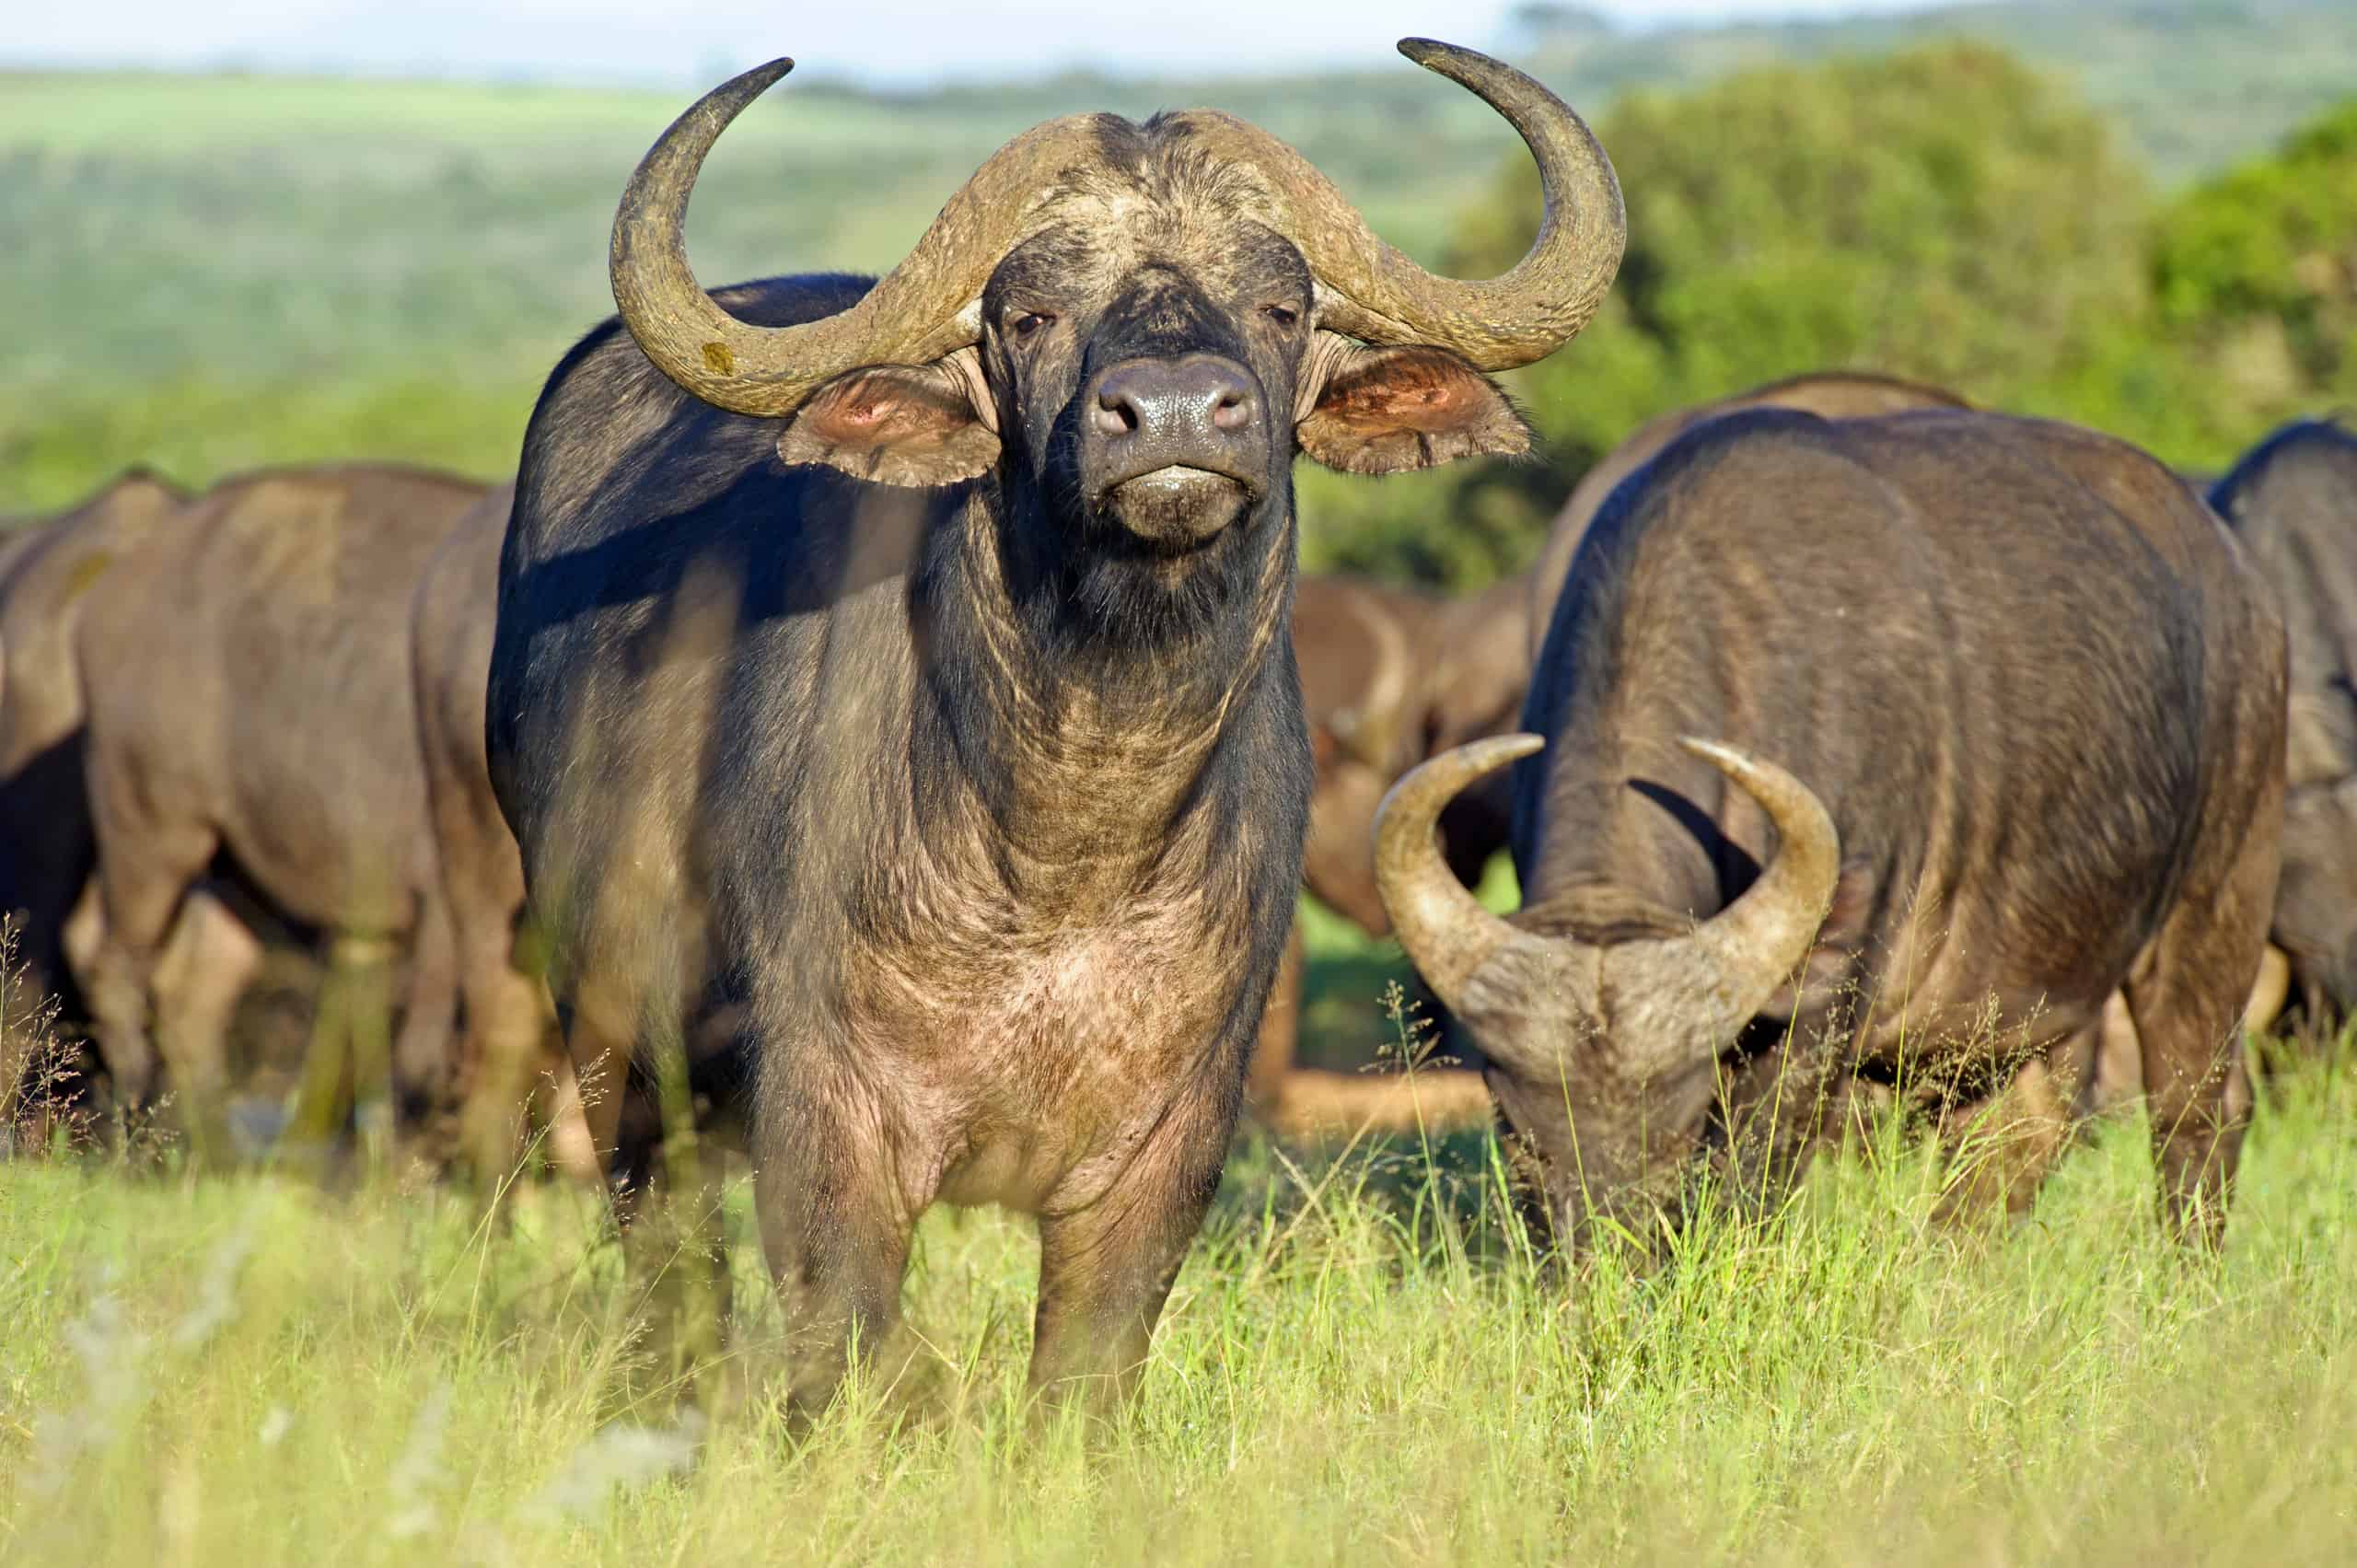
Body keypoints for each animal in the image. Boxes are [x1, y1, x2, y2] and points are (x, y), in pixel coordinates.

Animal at [75, 459, 487, 1155]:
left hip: (239, 866)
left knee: (194, 993)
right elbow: (428, 1048)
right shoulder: (443, 894)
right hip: (149, 825)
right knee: (112, 961)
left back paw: (213, 1144)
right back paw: (130, 1113)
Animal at [481, 42, 1621, 1414]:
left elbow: (1081, 1375)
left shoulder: (1172, 1146)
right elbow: (855, 1360)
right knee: (672, 1287)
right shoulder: (824, 1129)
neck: (1068, 839)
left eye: (1280, 307)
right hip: (620, 1064)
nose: (1174, 414)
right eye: (1029, 316)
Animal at [1376, 402, 2282, 1245]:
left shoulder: (1818, 1008)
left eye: (1679, 1129)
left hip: (2218, 899)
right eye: (1519, 1134)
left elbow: (1751, 1179)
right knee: (2017, 1133)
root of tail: (2238, 574)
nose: (1607, 1256)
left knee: (2197, 1107)